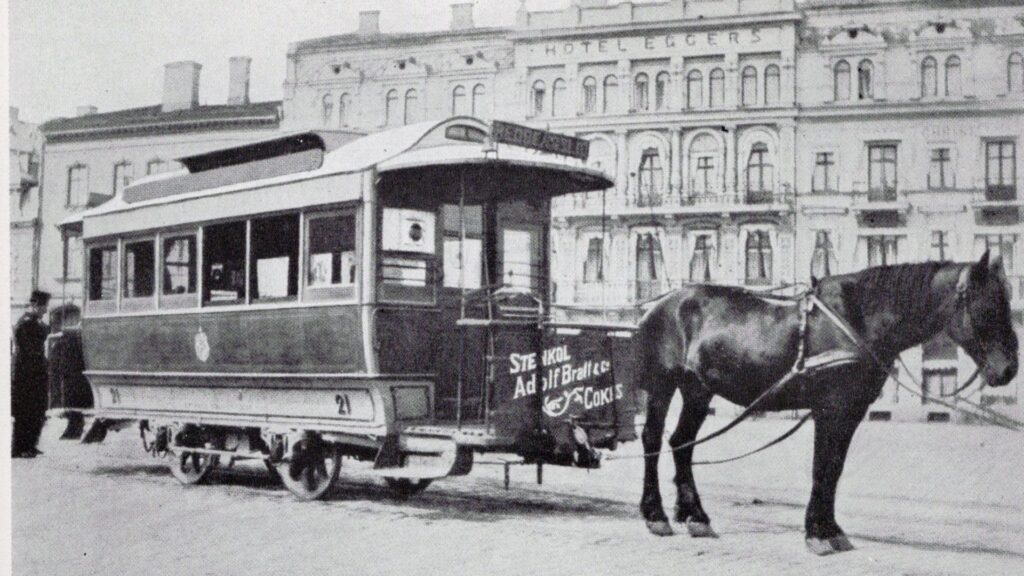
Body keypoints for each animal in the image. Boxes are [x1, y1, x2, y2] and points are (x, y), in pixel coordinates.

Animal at [634, 251, 1019, 553]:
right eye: (987, 306)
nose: (1008, 369)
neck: (858, 320)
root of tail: (661, 305)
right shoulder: (829, 409)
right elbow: (822, 467)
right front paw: (817, 534)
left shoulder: (850, 412)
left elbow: (834, 469)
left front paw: (831, 530)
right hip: (663, 385)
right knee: (653, 439)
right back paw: (656, 515)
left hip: (698, 390)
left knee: (682, 442)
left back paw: (695, 516)